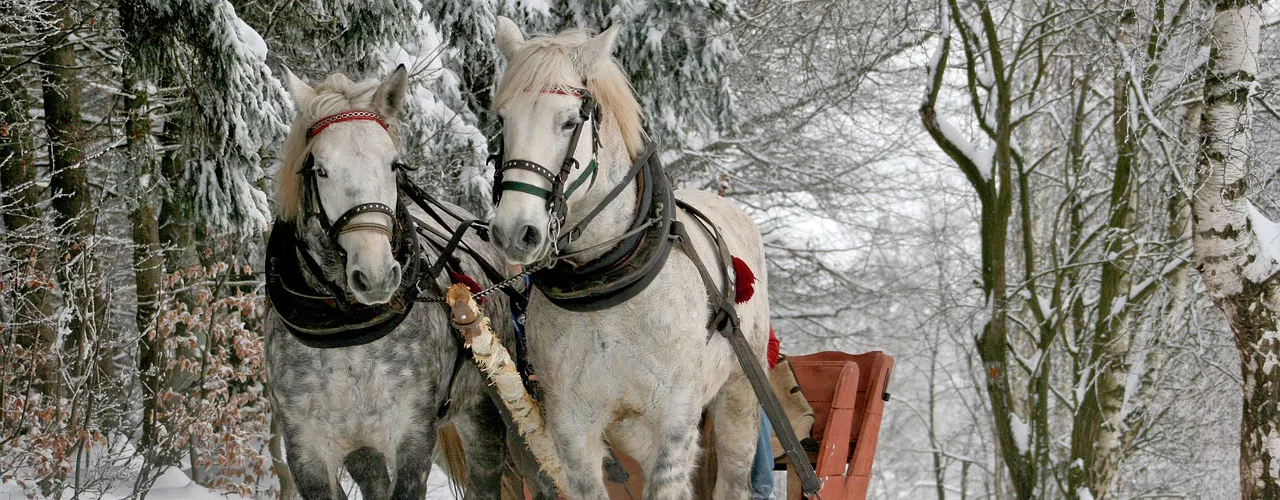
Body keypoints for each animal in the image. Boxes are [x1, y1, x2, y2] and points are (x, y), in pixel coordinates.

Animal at [486, 17, 768, 498]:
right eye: (503, 120)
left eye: (569, 122)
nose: (514, 232)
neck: (607, 284)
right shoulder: (571, 427)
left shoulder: (675, 419)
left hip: (738, 394)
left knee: (732, 475)